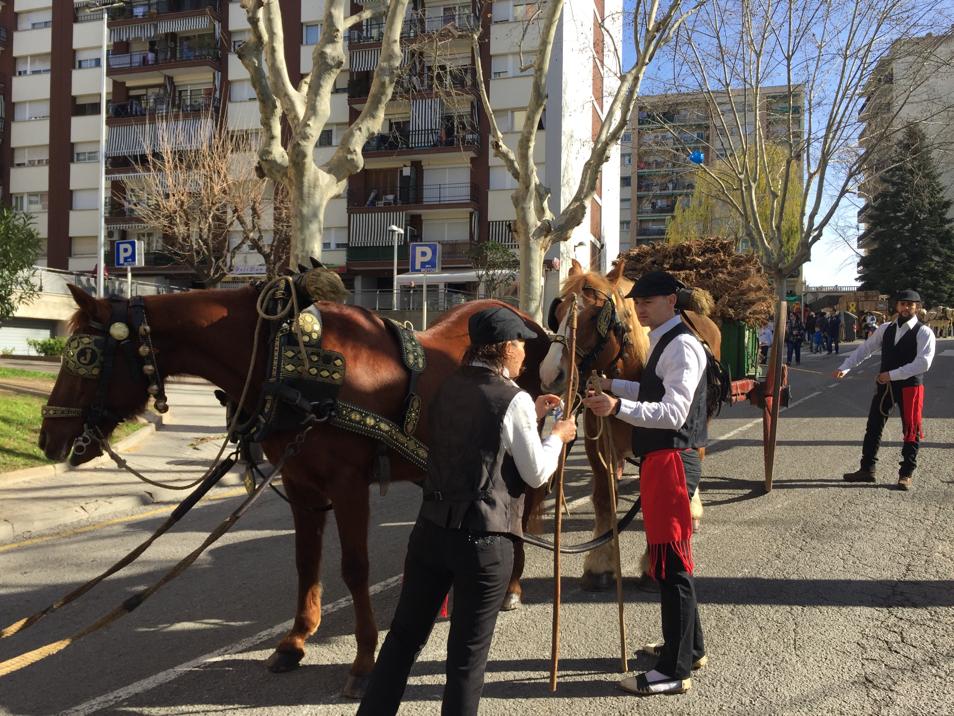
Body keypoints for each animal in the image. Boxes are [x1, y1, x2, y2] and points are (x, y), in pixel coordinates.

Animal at [39, 282, 552, 696]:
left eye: (84, 358)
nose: (49, 441)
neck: (289, 364)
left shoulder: (348, 485)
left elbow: (355, 568)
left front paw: (364, 660)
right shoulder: (299, 482)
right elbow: (306, 562)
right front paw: (295, 641)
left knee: (521, 511)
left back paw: (512, 586)